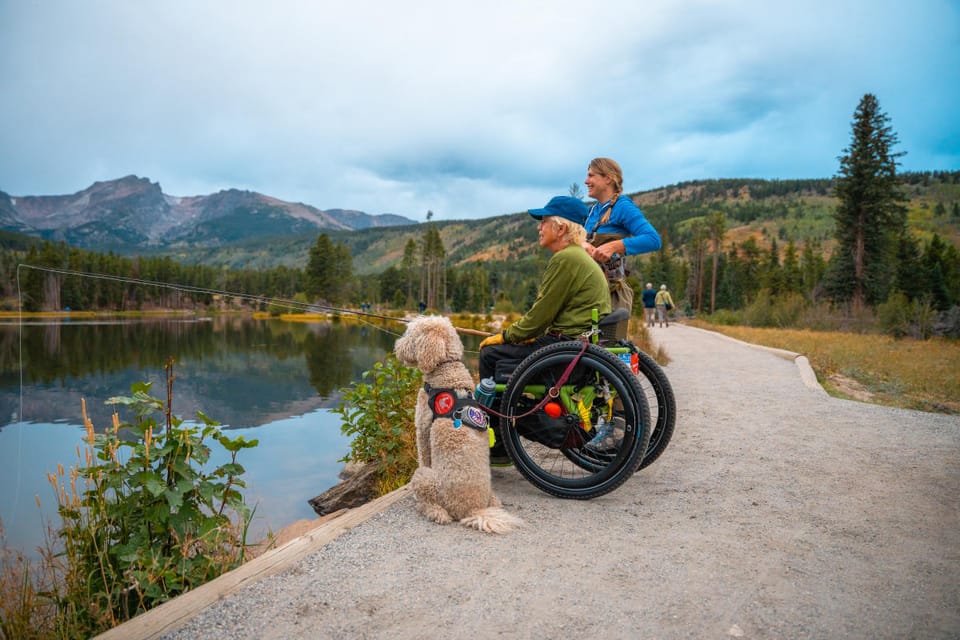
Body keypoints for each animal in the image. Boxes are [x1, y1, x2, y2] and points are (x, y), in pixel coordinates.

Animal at [392, 316, 520, 536]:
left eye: (411, 335)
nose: (397, 346)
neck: (447, 369)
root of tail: (473, 509)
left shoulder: (423, 429)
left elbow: (423, 457)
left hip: (426, 479)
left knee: (435, 506)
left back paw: (430, 509)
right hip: (491, 497)